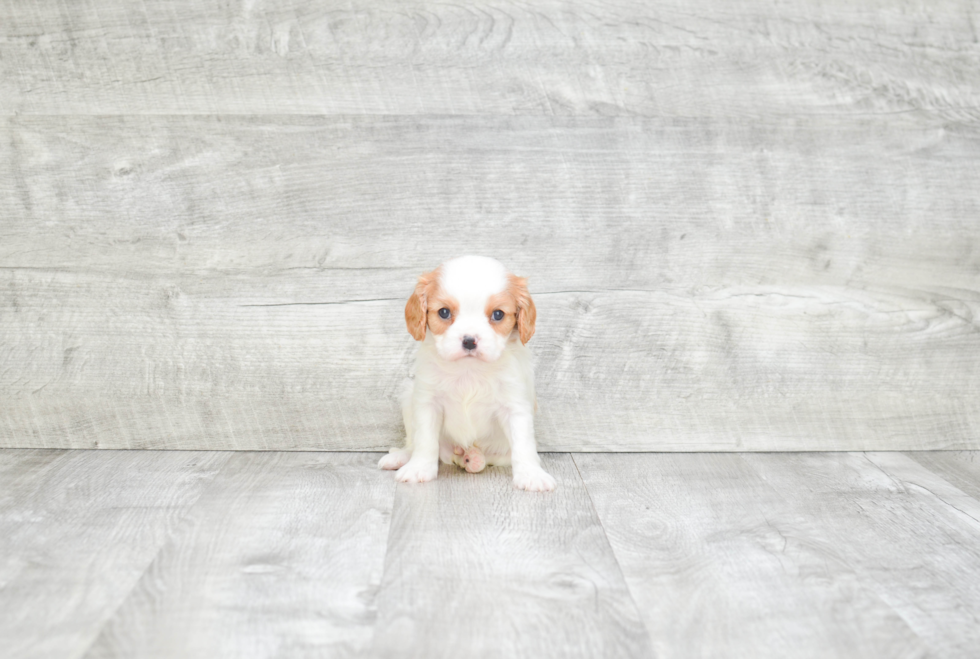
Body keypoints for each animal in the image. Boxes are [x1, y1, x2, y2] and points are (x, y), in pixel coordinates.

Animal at [378, 255, 556, 492]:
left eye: (498, 314)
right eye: (444, 312)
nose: (469, 340)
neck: (469, 369)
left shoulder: (515, 406)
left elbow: (523, 444)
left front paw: (531, 474)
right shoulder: (427, 402)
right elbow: (425, 439)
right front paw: (419, 468)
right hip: (408, 395)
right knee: (413, 442)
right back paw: (401, 457)